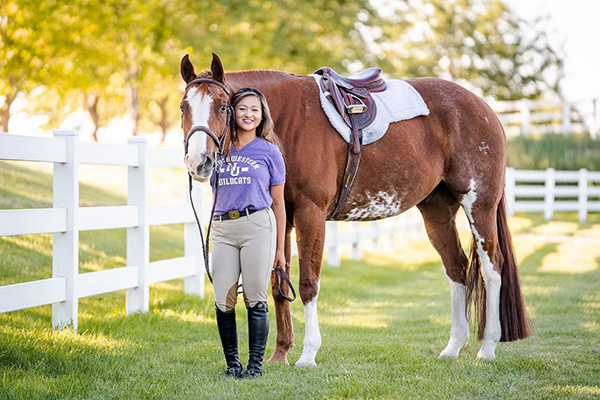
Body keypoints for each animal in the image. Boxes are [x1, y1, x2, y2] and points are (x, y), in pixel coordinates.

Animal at [178, 52, 528, 366]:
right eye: (184, 107)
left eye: (223, 106)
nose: (199, 162)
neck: (288, 121)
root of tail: (484, 108)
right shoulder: (282, 217)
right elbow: (279, 285)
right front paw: (280, 355)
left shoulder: (311, 213)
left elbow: (307, 284)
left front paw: (307, 355)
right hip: (437, 211)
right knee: (457, 269)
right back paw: (453, 348)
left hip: (479, 206)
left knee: (491, 269)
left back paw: (487, 349)